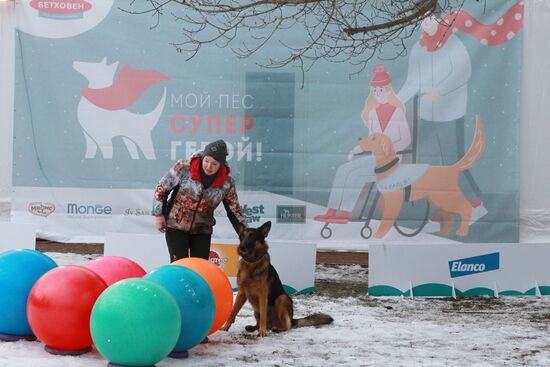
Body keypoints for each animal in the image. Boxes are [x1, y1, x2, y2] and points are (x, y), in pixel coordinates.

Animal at [360, 116, 490, 240]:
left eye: (373, 139)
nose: (359, 139)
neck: (390, 167)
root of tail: (452, 168)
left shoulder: (393, 200)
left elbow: (386, 221)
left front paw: (378, 235)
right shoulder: (385, 199)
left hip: (447, 196)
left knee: (466, 207)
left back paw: (462, 231)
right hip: (437, 199)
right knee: (449, 216)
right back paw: (443, 234)